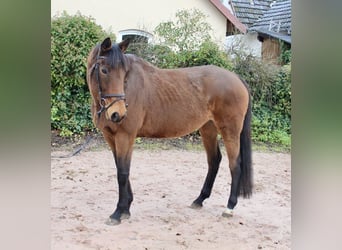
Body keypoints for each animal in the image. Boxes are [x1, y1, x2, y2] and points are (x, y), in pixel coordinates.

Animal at [86, 37, 251, 225]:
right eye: (104, 70)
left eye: (123, 73)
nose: (118, 114)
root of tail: (236, 78)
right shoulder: (110, 137)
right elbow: (121, 170)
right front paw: (126, 208)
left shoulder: (125, 137)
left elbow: (122, 173)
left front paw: (118, 212)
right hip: (208, 129)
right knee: (214, 161)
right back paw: (199, 200)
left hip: (230, 130)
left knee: (235, 165)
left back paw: (229, 207)